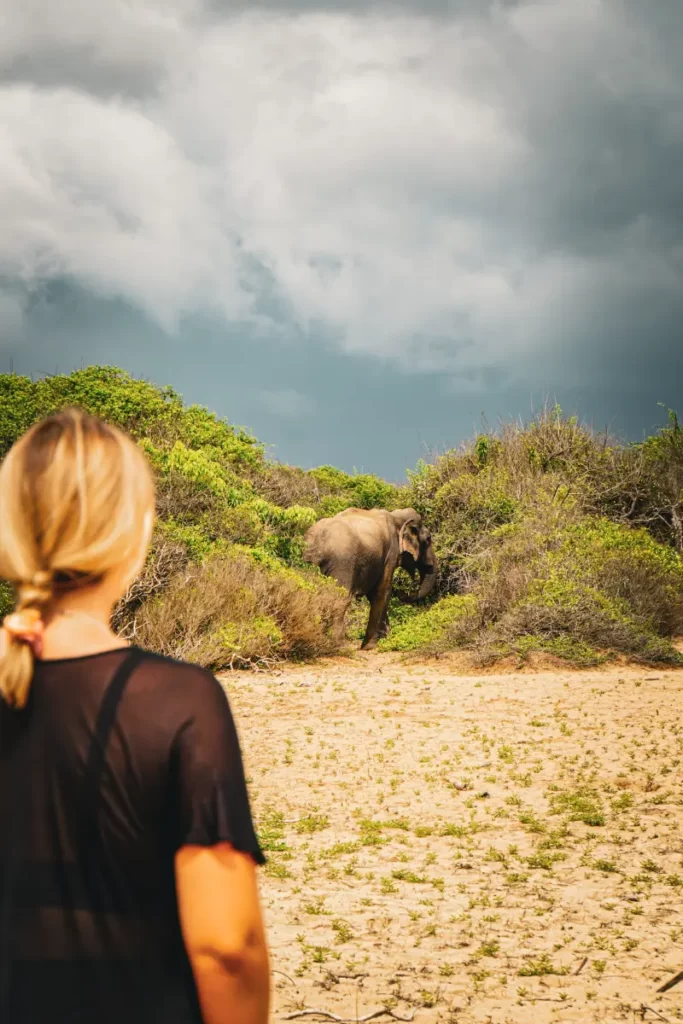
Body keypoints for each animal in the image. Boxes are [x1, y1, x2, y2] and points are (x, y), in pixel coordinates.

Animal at [303, 507, 438, 650]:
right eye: (428, 539)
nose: (402, 592)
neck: (396, 516)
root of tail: (318, 543)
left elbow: (374, 594)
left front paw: (385, 639)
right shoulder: (391, 553)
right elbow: (382, 592)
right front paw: (370, 646)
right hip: (343, 562)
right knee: (340, 599)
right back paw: (341, 646)